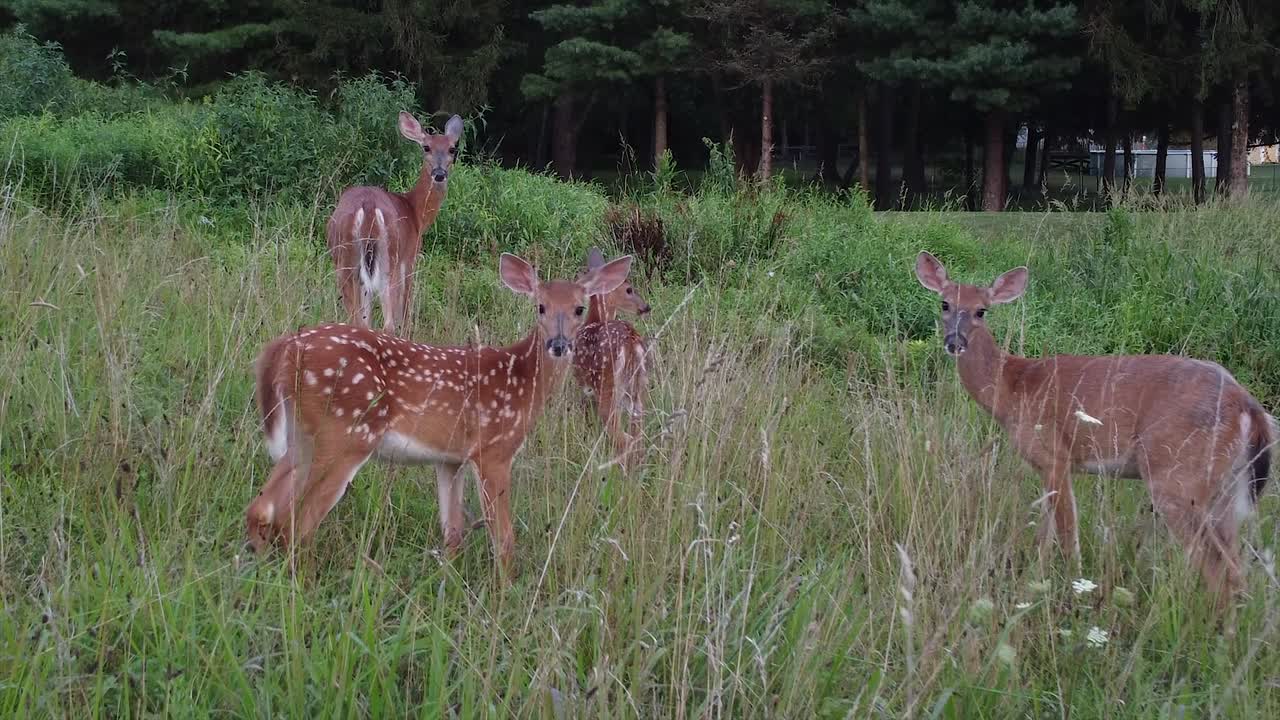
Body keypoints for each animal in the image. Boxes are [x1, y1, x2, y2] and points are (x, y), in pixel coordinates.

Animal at [245, 252, 634, 577]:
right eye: (540, 306)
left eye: (579, 309)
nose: (558, 344)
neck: (522, 381)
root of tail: (285, 347)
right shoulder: (493, 450)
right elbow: (504, 538)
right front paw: (504, 591)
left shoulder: (450, 459)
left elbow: (453, 533)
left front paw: (449, 582)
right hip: (345, 433)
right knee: (298, 521)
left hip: (302, 435)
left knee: (263, 509)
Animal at [326, 111, 463, 335]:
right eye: (426, 147)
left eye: (452, 148)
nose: (439, 174)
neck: (415, 212)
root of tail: (369, 206)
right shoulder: (409, 256)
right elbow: (406, 306)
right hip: (389, 257)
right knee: (387, 322)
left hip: (344, 258)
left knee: (357, 318)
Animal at [572, 248, 652, 469]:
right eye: (629, 290)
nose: (646, 307)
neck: (594, 320)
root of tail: (631, 343)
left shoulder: (583, 382)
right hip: (639, 387)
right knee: (637, 434)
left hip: (607, 383)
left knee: (622, 436)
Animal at [914, 252, 1273, 609]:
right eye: (945, 303)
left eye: (981, 310)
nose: (955, 343)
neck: (1013, 387)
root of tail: (1248, 406)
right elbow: (1044, 535)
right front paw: (1035, 580)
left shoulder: (1054, 455)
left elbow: (1067, 534)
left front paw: (1074, 585)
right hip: (1226, 488)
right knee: (1236, 566)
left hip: (1177, 476)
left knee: (1220, 568)